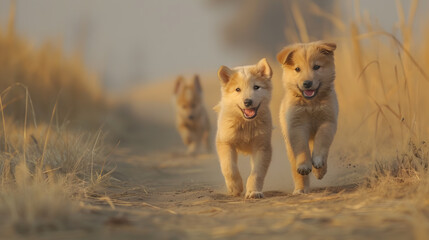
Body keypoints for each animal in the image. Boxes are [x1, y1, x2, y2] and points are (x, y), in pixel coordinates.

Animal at [216, 58, 272, 199]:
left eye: (256, 87)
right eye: (237, 89)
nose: (247, 102)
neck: (246, 124)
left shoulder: (262, 146)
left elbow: (257, 173)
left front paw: (253, 192)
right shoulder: (225, 142)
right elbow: (229, 167)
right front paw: (235, 188)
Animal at [278, 40, 338, 195]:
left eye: (316, 67)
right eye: (297, 69)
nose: (307, 83)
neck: (311, 104)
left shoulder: (327, 121)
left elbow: (322, 141)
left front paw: (317, 161)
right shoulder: (296, 125)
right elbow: (301, 148)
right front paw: (304, 166)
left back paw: (320, 171)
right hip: (289, 147)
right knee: (296, 171)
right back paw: (300, 189)